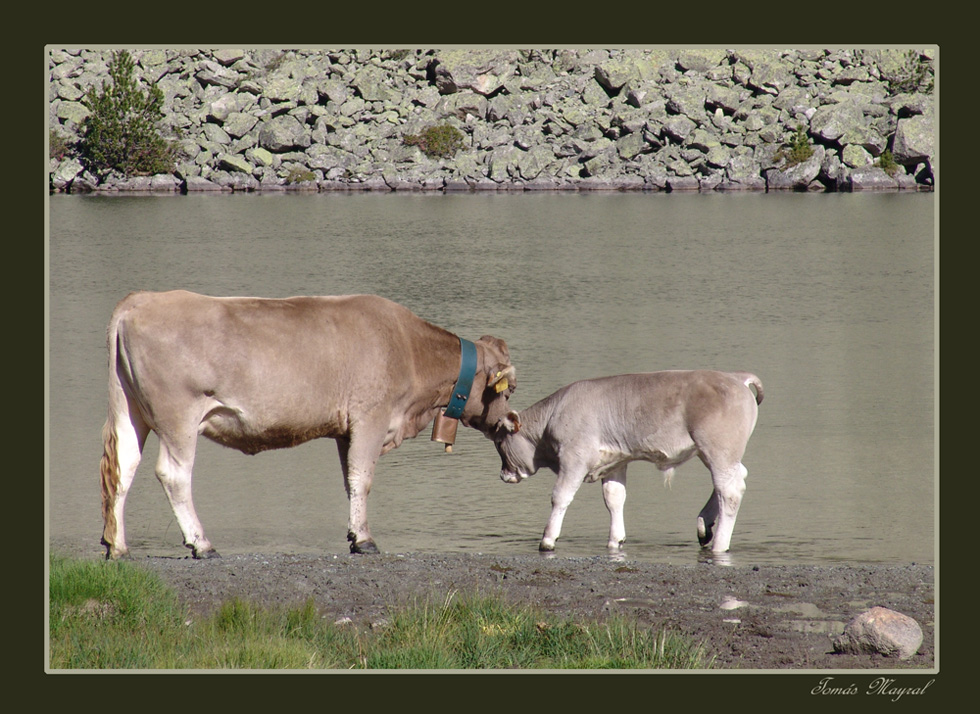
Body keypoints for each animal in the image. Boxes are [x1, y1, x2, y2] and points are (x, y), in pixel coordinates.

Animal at [99, 290, 516, 556]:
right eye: (509, 391)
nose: (508, 423)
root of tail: (141, 299)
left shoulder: (346, 430)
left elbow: (350, 481)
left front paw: (353, 534)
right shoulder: (371, 417)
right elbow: (363, 479)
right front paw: (365, 540)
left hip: (131, 410)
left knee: (123, 466)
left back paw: (117, 545)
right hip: (178, 417)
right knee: (174, 475)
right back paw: (202, 544)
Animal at [494, 370, 760, 552]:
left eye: (499, 441)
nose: (503, 474)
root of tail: (735, 377)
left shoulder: (575, 458)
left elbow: (560, 496)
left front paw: (548, 539)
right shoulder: (615, 462)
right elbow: (614, 499)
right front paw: (616, 539)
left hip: (719, 451)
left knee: (730, 491)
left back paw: (719, 545)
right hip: (716, 454)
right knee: (736, 478)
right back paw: (705, 526)